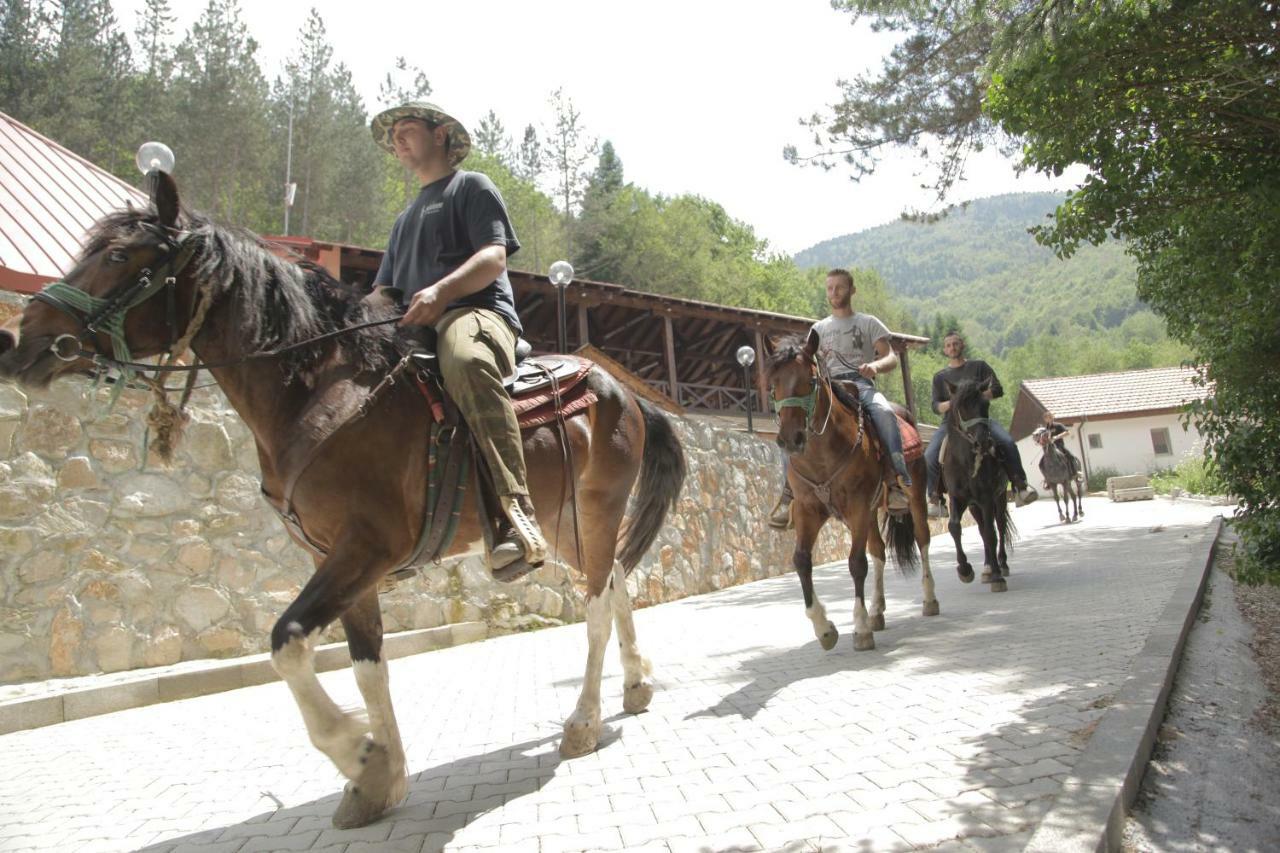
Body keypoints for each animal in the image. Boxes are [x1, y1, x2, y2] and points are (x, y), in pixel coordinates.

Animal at [0, 178, 691, 824]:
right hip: (564, 523)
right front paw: (381, 777)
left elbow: (286, 642)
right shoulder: (338, 560)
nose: (15, 339)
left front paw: (355, 749)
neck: (320, 390)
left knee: (596, 604)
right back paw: (636, 684)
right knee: (617, 579)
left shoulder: (365, 550)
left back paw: (583, 721)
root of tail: (627, 394)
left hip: (596, 510)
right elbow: (366, 666)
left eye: (118, 256)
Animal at [762, 333, 936, 650]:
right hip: (872, 512)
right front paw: (824, 628)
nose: (790, 439)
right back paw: (877, 612)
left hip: (914, 497)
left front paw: (861, 628)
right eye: (773, 383)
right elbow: (801, 561)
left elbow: (856, 563)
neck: (822, 453)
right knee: (878, 551)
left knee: (922, 539)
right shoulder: (808, 510)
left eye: (810, 380)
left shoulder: (857, 507)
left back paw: (929, 600)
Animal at [936, 379, 1013, 591]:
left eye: (985, 405)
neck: (965, 461)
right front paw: (965, 570)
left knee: (999, 526)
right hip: (973, 505)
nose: (983, 443)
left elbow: (991, 533)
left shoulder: (986, 498)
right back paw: (987, 568)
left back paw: (1001, 565)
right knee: (982, 529)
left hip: (999, 497)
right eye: (961, 407)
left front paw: (997, 577)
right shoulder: (957, 498)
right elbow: (954, 527)